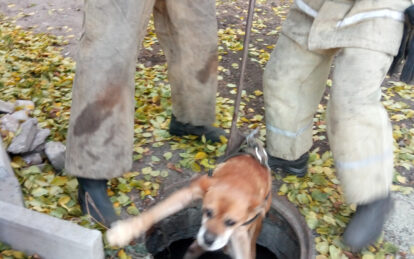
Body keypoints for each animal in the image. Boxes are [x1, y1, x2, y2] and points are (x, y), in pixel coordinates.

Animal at [106, 144, 272, 259]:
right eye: (207, 212)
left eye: (231, 222)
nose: (208, 240)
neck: (241, 179)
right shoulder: (191, 191)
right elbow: (156, 212)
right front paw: (126, 230)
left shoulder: (240, 232)